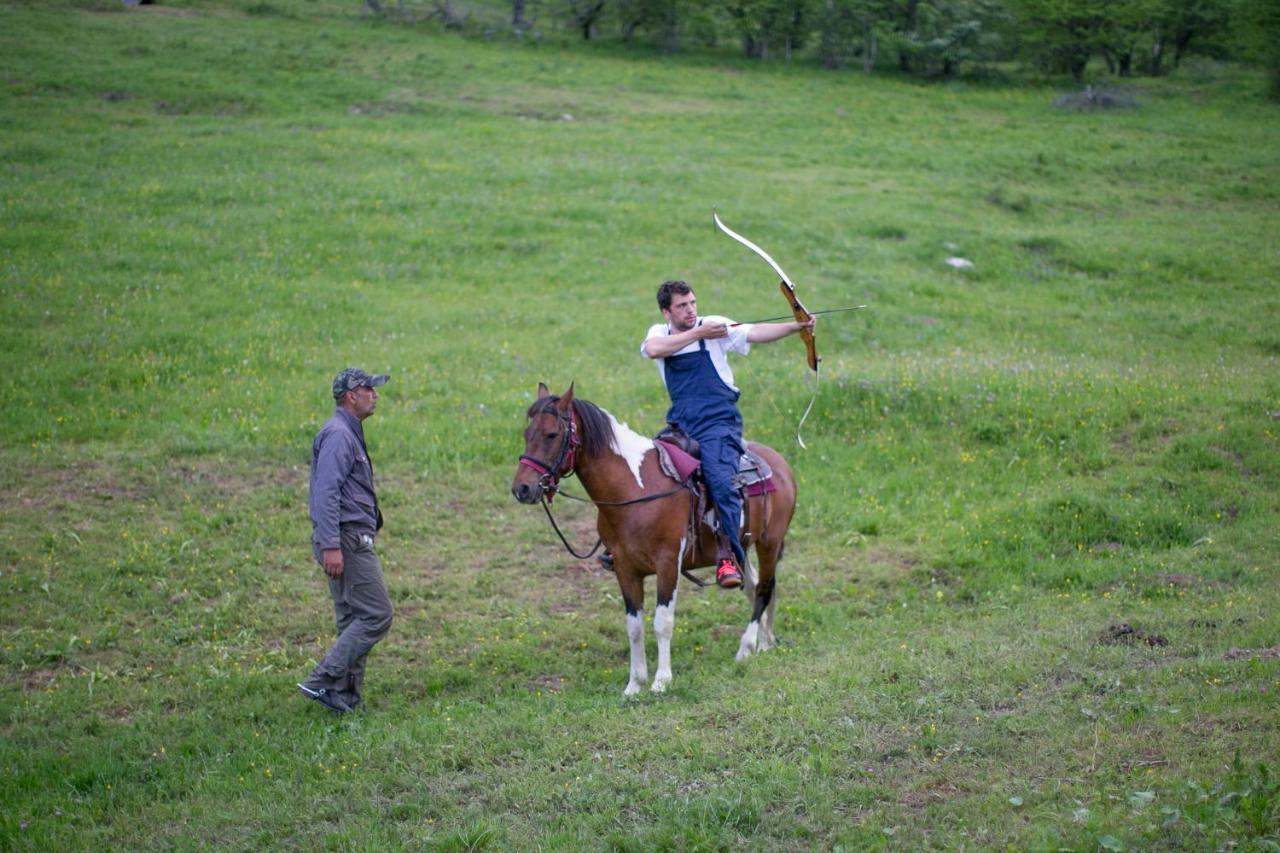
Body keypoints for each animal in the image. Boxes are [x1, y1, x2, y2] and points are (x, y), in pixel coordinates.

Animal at [506, 381, 788, 696]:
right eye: (526, 434)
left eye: (551, 435)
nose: (522, 488)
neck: (635, 490)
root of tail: (779, 462)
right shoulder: (625, 568)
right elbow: (635, 626)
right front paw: (634, 683)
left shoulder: (667, 563)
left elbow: (662, 622)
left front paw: (661, 680)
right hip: (742, 547)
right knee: (755, 587)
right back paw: (764, 641)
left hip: (769, 543)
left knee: (763, 589)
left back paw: (747, 646)